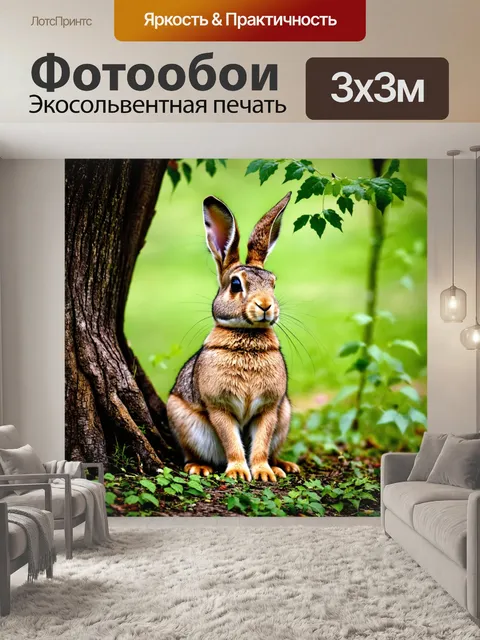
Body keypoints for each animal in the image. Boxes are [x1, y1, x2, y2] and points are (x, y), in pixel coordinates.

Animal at [166, 192, 300, 482]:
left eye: (273, 284)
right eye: (236, 284)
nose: (265, 306)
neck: (247, 335)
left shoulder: (269, 408)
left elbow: (260, 443)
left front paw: (263, 473)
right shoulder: (219, 406)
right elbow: (231, 440)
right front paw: (239, 472)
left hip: (285, 414)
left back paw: (282, 466)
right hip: (182, 419)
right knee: (191, 454)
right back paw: (199, 467)